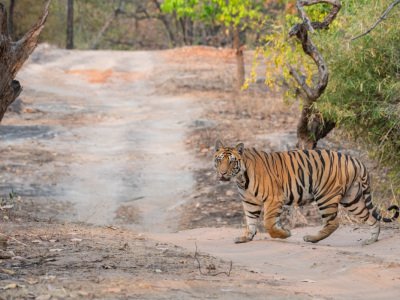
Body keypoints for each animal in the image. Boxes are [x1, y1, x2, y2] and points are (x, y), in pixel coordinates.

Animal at [214, 139, 398, 245]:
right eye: (219, 160)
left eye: (231, 162)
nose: (222, 173)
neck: (241, 179)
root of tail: (354, 159)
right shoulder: (250, 202)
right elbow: (251, 221)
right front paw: (246, 237)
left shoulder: (274, 199)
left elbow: (268, 223)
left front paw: (285, 233)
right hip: (351, 198)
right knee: (371, 217)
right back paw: (371, 240)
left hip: (326, 196)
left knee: (333, 222)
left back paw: (311, 238)